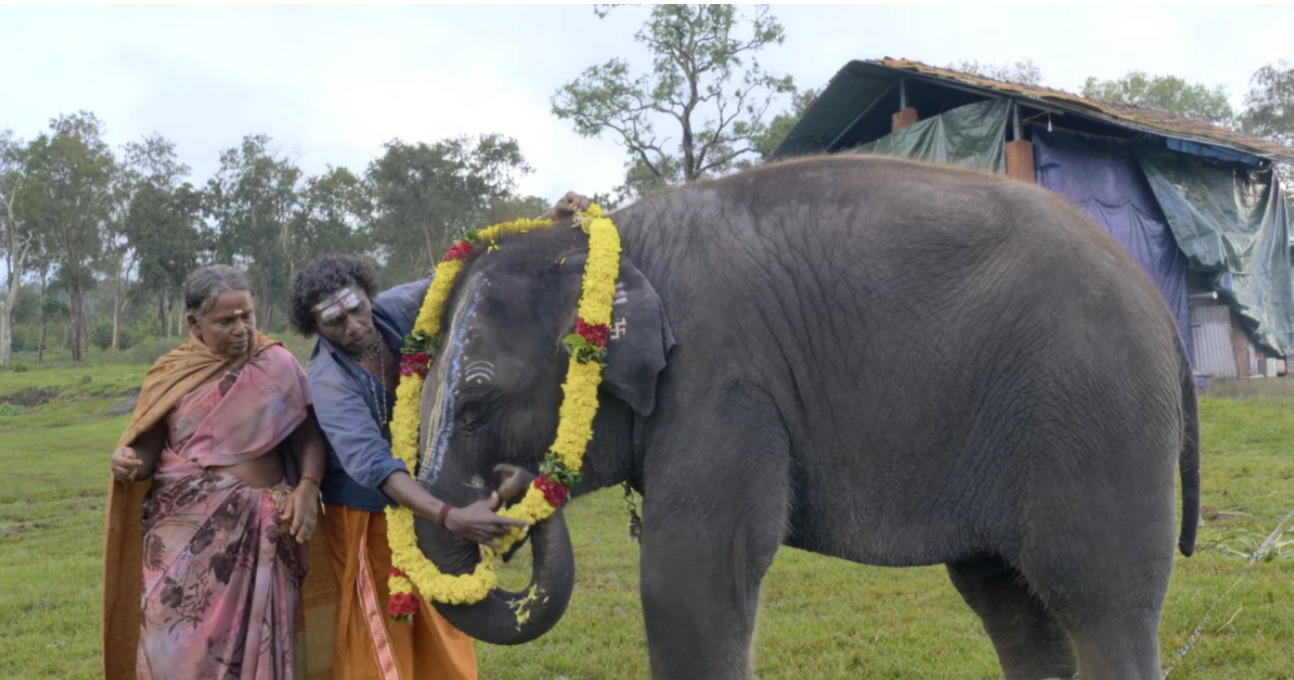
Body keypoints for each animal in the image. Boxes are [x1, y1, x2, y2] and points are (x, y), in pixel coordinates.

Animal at [411, 155, 1200, 680]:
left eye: (477, 400)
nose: (510, 490)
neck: (619, 245)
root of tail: (1161, 305)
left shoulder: (723, 379)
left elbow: (691, 579)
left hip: (1097, 412)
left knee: (1098, 597)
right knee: (1007, 600)